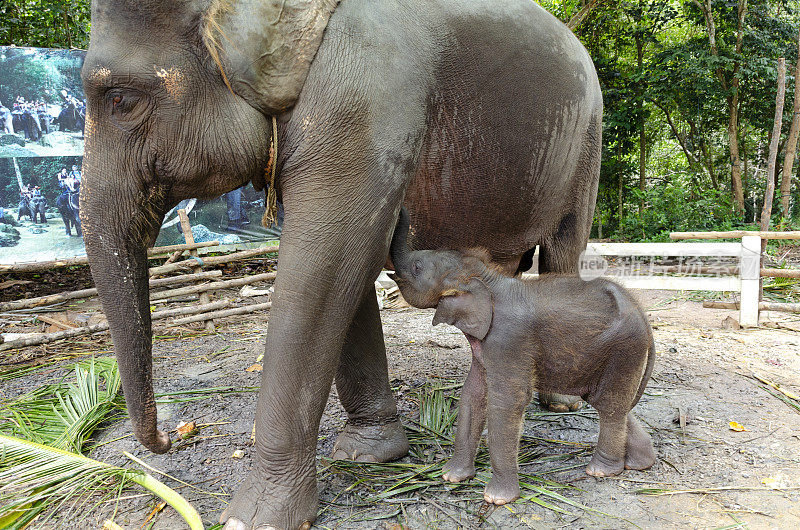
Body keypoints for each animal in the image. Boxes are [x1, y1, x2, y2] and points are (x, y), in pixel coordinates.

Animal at [79, 2, 600, 524]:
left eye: (120, 100)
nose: (170, 437)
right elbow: (346, 270)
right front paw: (368, 454)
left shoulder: (362, 97)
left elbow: (324, 265)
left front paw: (253, 517)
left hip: (586, 141)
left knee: (565, 246)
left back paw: (562, 403)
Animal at [390, 209, 656, 504]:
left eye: (417, 267)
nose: (402, 210)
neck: (487, 278)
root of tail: (642, 313)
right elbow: (473, 393)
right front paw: (451, 477)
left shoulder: (509, 339)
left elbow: (507, 401)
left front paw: (496, 498)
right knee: (608, 401)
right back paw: (639, 464)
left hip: (625, 349)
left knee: (609, 404)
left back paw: (601, 471)